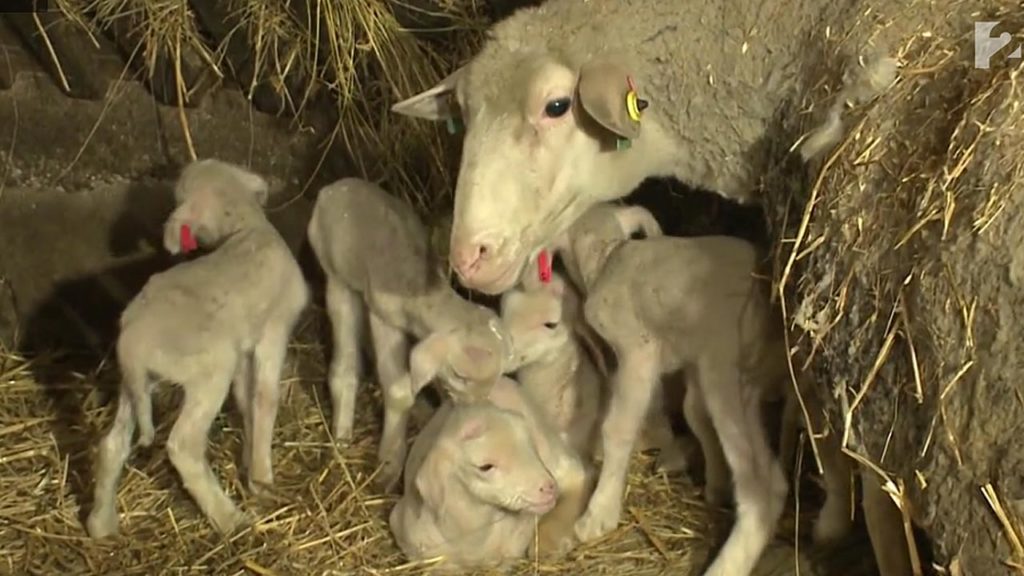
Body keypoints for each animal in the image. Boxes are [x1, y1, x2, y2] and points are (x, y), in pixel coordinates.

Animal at [84, 157, 307, 537]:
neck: (244, 228)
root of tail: (132, 340)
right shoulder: (272, 331)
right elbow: (264, 398)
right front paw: (262, 478)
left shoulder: (244, 348)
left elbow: (245, 400)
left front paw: (249, 464)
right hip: (209, 372)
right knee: (183, 447)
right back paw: (229, 519)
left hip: (136, 384)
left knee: (112, 445)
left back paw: (101, 525)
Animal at [303, 176, 512, 487]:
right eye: (460, 375)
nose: (475, 410)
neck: (425, 293)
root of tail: (336, 185)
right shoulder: (383, 315)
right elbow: (398, 390)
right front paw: (389, 465)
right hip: (336, 275)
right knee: (344, 361)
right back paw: (341, 434)